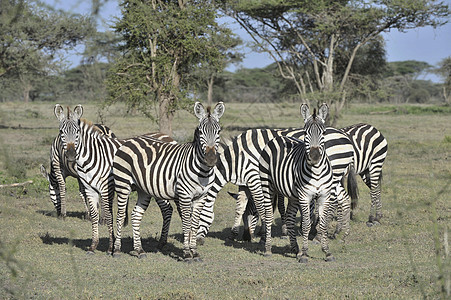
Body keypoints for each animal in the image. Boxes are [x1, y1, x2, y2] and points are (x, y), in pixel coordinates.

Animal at [54, 104, 177, 254]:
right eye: (61, 132)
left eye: (77, 132)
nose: (71, 155)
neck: (94, 155)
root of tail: (171, 139)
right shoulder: (89, 188)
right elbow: (94, 215)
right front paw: (93, 245)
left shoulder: (107, 188)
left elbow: (108, 215)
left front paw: (111, 246)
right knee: (168, 209)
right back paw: (162, 243)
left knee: (167, 209)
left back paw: (163, 243)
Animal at [113, 102, 226, 262]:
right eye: (200, 132)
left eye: (218, 131)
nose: (210, 159)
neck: (202, 171)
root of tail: (130, 140)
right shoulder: (184, 195)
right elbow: (186, 223)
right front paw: (187, 254)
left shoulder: (201, 197)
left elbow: (194, 223)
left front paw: (195, 252)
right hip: (122, 184)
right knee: (121, 215)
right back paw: (116, 250)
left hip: (143, 190)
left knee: (136, 215)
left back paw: (139, 250)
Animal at [258, 103, 354, 262]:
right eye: (305, 132)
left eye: (324, 132)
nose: (315, 156)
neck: (317, 171)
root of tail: (279, 137)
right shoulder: (305, 196)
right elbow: (306, 224)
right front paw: (304, 254)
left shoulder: (324, 196)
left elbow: (322, 223)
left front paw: (327, 252)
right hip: (267, 185)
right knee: (268, 215)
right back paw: (268, 249)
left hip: (293, 195)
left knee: (290, 218)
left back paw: (294, 248)